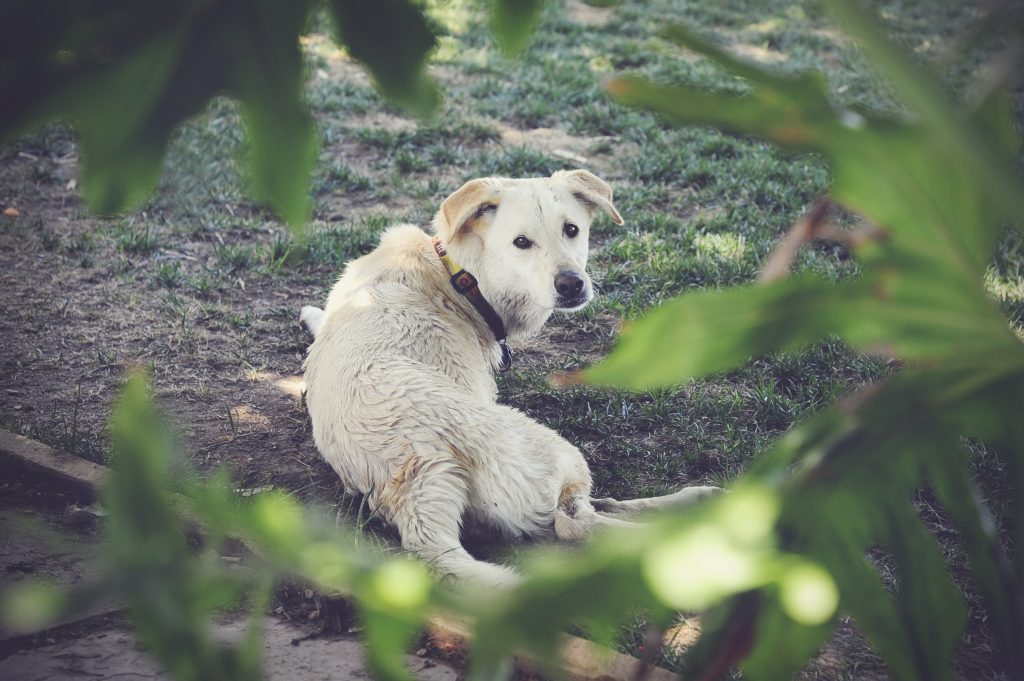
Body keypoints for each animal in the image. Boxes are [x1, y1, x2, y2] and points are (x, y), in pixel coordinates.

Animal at [299, 169, 720, 585]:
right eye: (521, 242)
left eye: (571, 230)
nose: (571, 284)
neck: (456, 275)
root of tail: (420, 483)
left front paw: (310, 315)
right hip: (555, 450)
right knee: (576, 521)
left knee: (589, 510)